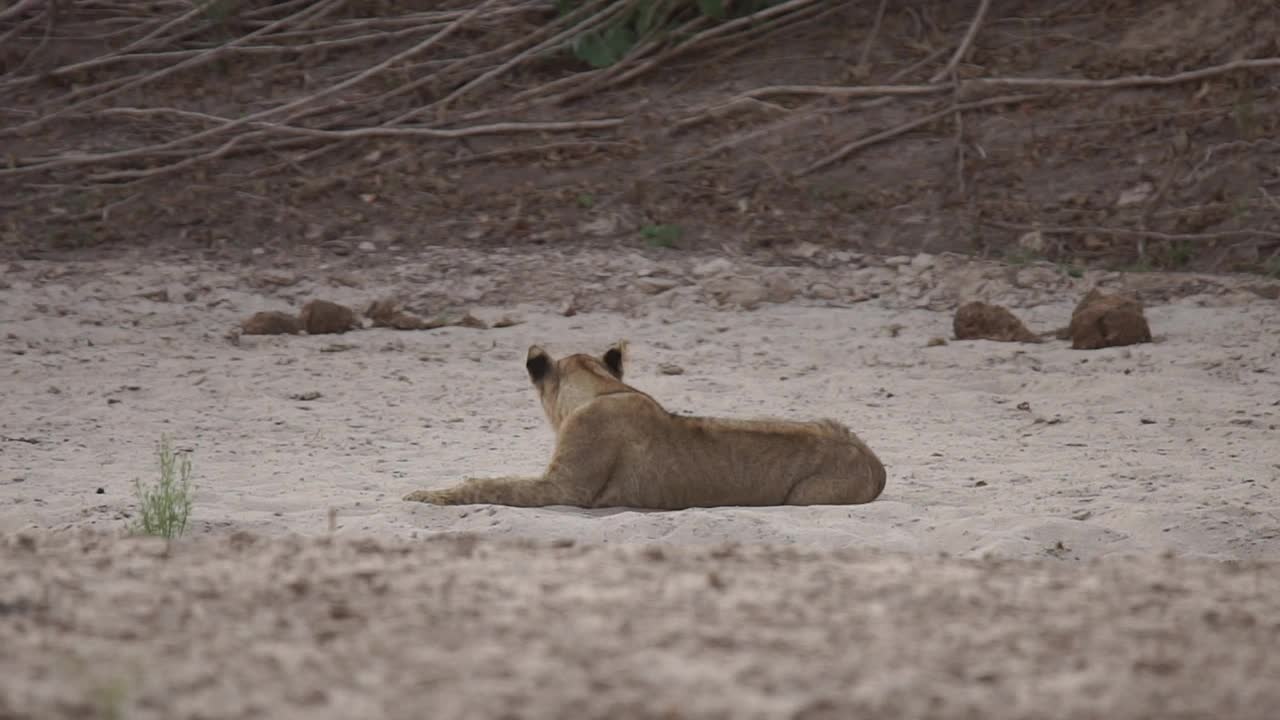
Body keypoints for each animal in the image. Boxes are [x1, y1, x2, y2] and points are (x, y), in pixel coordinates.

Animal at [404, 340, 885, 504]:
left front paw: (426, 495)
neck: (600, 389)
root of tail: (875, 461)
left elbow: (492, 484)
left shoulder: (565, 489)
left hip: (807, 497)